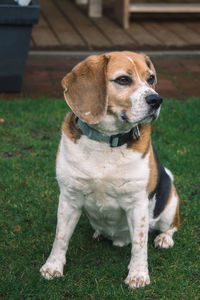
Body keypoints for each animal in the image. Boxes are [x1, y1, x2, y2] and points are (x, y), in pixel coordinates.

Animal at [40, 51, 180, 288]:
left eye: (151, 78)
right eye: (123, 79)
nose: (156, 99)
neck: (106, 141)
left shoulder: (137, 204)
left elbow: (140, 243)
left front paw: (138, 275)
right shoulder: (69, 198)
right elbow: (60, 237)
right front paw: (53, 266)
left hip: (169, 205)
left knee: (170, 227)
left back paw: (164, 238)